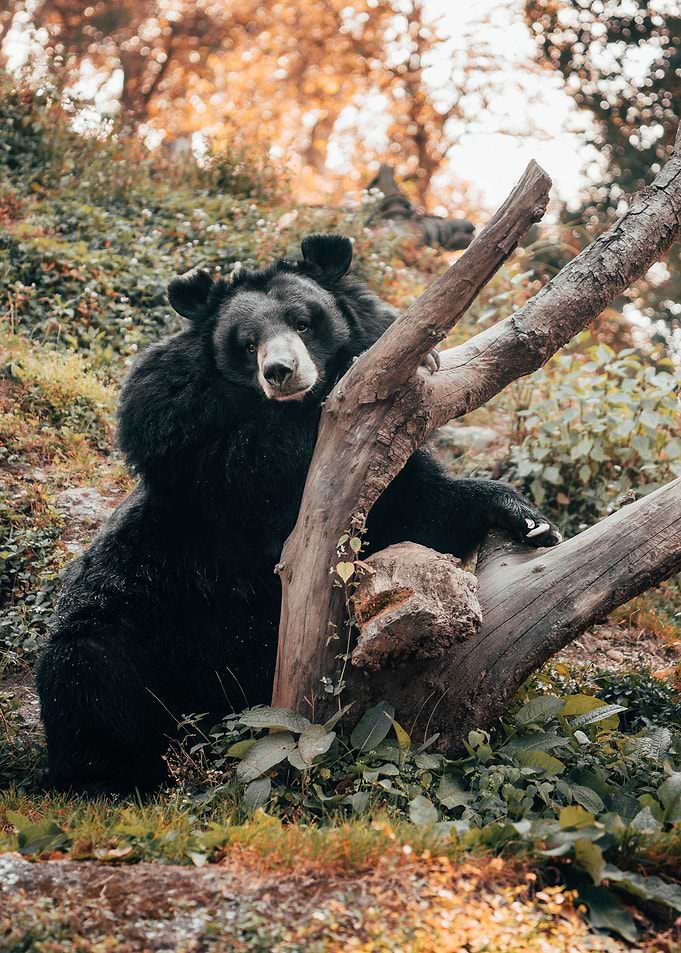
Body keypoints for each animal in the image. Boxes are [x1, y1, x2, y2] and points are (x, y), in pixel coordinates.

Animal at [36, 234, 561, 797]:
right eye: (247, 344)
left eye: (305, 323)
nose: (280, 372)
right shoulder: (187, 444)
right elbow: (250, 468)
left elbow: (416, 506)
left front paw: (532, 523)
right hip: (139, 613)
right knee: (88, 676)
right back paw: (107, 780)